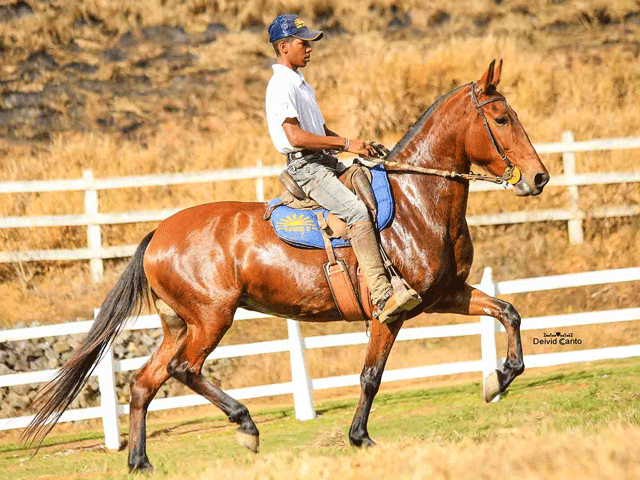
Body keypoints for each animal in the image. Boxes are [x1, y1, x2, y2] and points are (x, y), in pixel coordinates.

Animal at [25, 58, 552, 470]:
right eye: (501, 118)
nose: (539, 177)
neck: (416, 201)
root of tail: (159, 233)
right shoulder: (390, 313)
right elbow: (371, 376)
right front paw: (360, 438)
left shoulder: (447, 295)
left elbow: (509, 313)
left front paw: (496, 380)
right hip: (211, 318)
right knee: (183, 370)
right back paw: (245, 426)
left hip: (179, 323)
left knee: (143, 383)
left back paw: (141, 462)